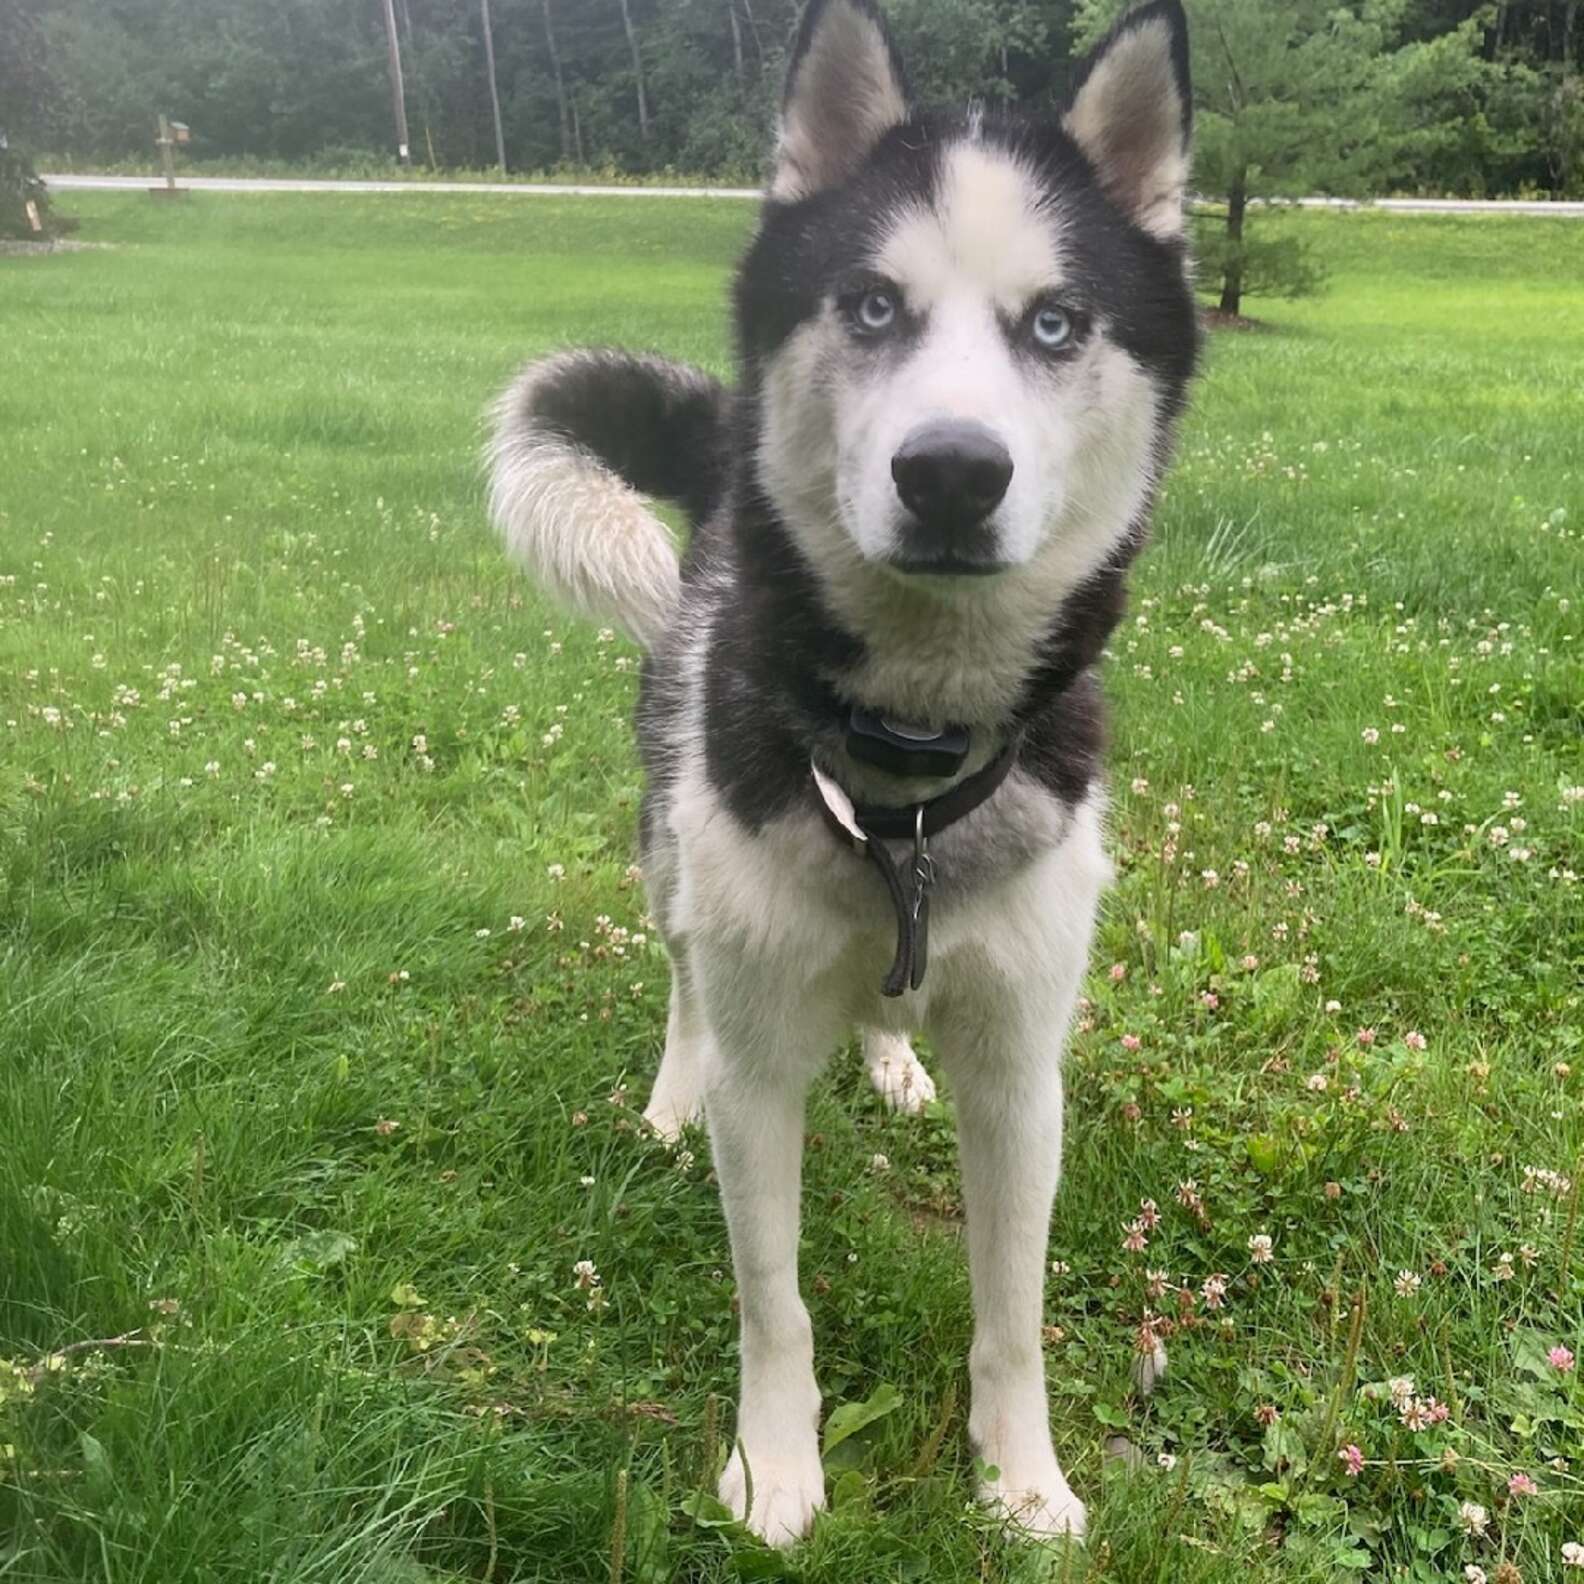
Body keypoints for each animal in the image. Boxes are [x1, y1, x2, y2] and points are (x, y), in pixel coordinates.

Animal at [487, 0, 1191, 1539]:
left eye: (1055, 324)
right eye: (871, 306)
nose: (953, 473)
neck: (909, 772)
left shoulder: (1024, 1072)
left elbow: (1012, 1314)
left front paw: (1023, 1482)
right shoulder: (763, 1068)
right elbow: (776, 1301)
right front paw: (773, 1468)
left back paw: (890, 1058)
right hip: (670, 855)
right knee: (683, 977)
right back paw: (671, 1092)